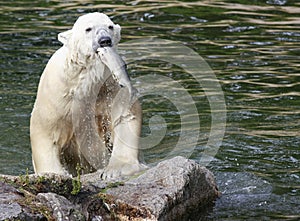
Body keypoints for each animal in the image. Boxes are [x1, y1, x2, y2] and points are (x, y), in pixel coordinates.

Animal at [30, 12, 145, 179]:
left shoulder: (110, 86)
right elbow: (45, 130)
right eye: (88, 29)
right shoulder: (57, 90)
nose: (105, 40)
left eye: (110, 27)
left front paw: (116, 169)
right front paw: (55, 174)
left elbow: (124, 116)